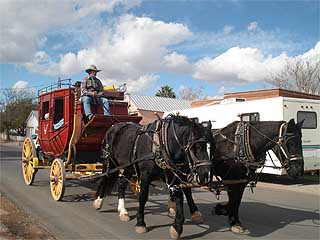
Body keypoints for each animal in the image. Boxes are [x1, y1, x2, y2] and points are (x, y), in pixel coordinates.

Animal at [169, 119, 304, 233]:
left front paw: (226, 212)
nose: (298, 171)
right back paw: (187, 211)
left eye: (300, 141)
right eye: (291, 143)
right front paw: (232, 219)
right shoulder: (230, 179)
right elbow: (233, 199)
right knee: (183, 188)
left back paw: (173, 206)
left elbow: (236, 200)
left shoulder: (240, 181)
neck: (241, 145)